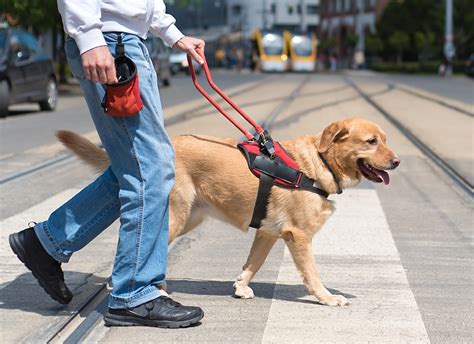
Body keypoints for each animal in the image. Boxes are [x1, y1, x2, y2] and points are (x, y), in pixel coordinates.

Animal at [58, 117, 400, 306]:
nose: (397, 161)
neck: (319, 163)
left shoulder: (267, 233)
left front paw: (241, 287)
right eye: (371, 141)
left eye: (385, 139)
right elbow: (313, 274)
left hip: (189, 218)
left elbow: (253, 263)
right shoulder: (299, 236)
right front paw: (327, 298)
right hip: (175, 218)